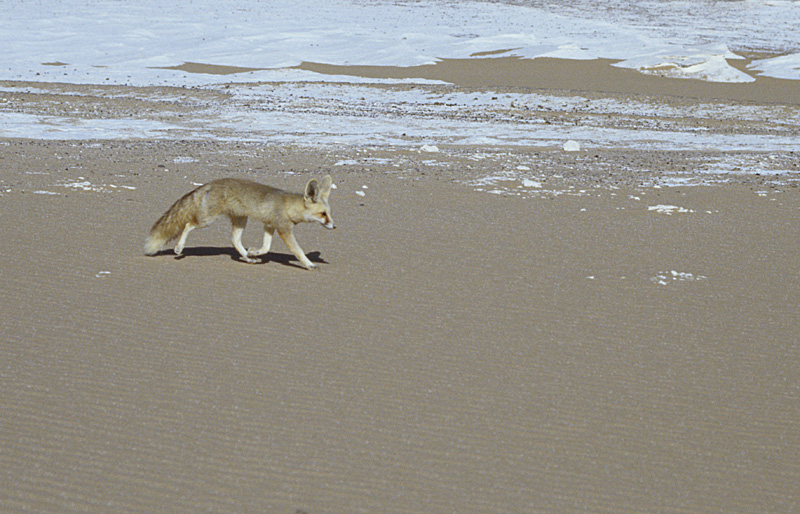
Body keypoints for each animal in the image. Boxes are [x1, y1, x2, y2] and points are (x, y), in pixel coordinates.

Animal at [145, 175, 334, 270]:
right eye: (323, 214)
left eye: (329, 214)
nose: (334, 226)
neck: (289, 207)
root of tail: (210, 183)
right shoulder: (283, 228)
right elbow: (298, 250)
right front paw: (309, 264)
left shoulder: (269, 225)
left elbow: (266, 247)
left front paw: (254, 252)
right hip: (207, 219)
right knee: (188, 225)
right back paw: (179, 247)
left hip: (241, 219)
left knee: (234, 241)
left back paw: (248, 258)